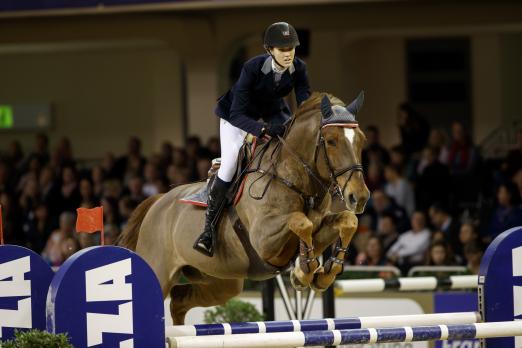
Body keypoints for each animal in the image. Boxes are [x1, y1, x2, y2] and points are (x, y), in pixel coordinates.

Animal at [117, 92, 370, 324]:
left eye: (361, 140)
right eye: (331, 141)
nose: (359, 197)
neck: (295, 181)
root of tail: (158, 202)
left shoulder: (320, 225)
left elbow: (347, 221)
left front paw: (319, 273)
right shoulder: (264, 239)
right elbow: (300, 221)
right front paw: (304, 270)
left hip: (222, 280)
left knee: (179, 300)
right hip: (160, 270)